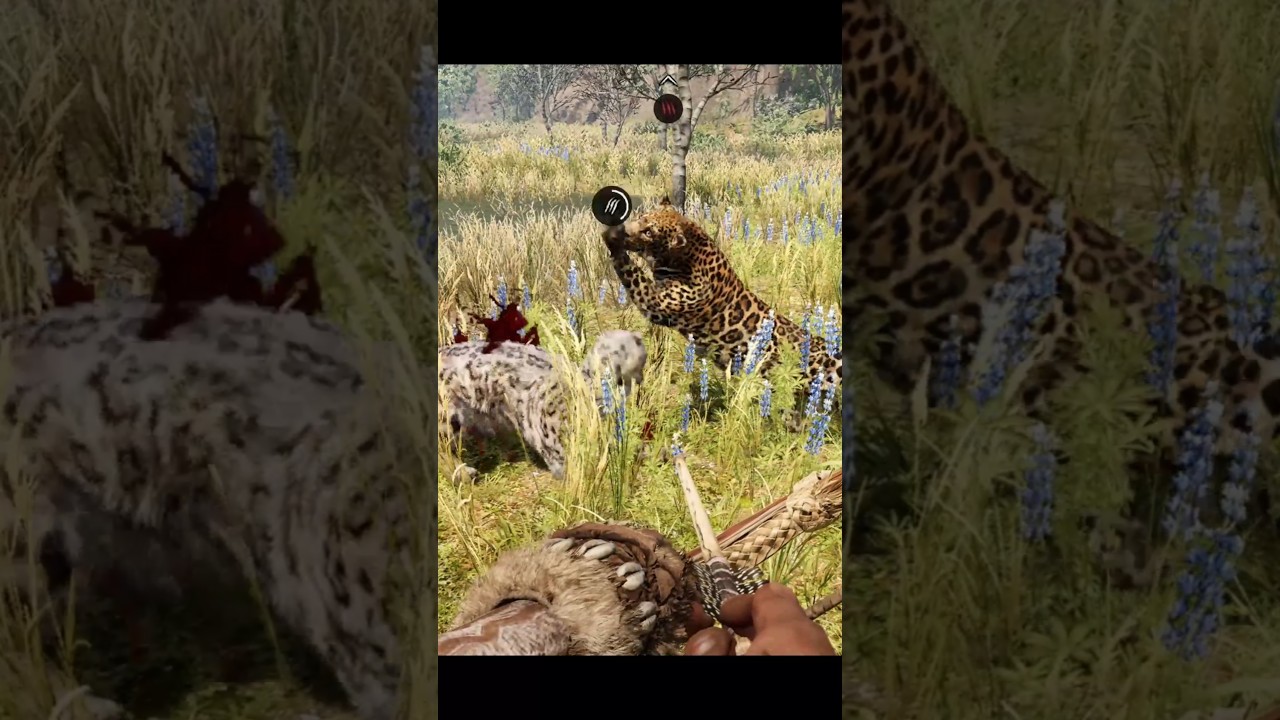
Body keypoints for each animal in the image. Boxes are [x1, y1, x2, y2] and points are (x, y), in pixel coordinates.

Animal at [601, 197, 842, 424]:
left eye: (649, 232)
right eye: (641, 217)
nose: (625, 230)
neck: (687, 253)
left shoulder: (654, 301)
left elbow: (629, 270)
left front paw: (611, 237)